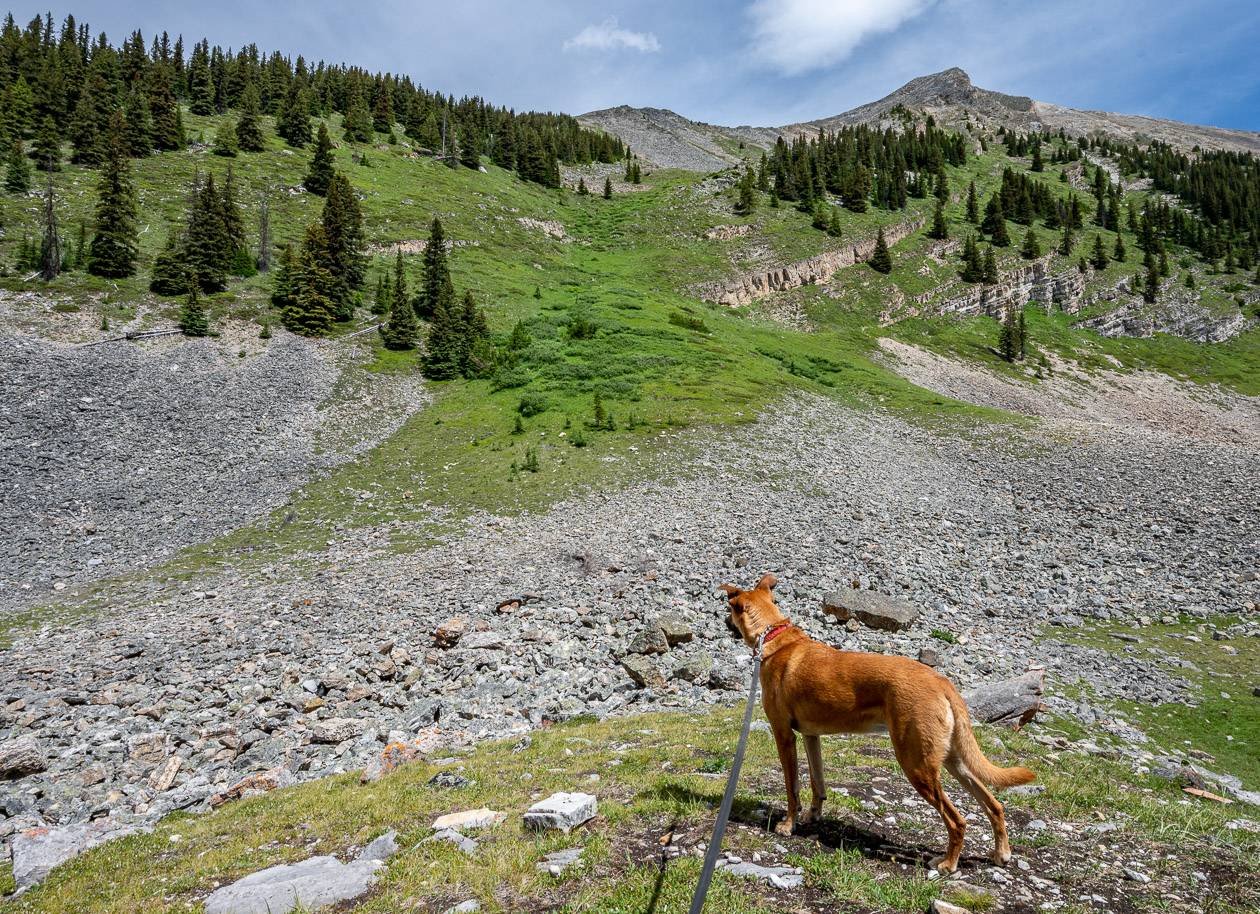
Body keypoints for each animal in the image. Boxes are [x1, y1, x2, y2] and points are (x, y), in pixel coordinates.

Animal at [720, 569, 1033, 872]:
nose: (724, 622)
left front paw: (788, 825)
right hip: (951, 759)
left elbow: (792, 787)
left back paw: (948, 863)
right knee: (994, 804)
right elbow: (818, 784)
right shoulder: (811, 736)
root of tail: (942, 682)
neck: (773, 637)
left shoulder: (784, 734)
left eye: (729, 610)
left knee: (957, 819)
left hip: (916, 763)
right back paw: (1001, 853)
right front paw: (813, 815)